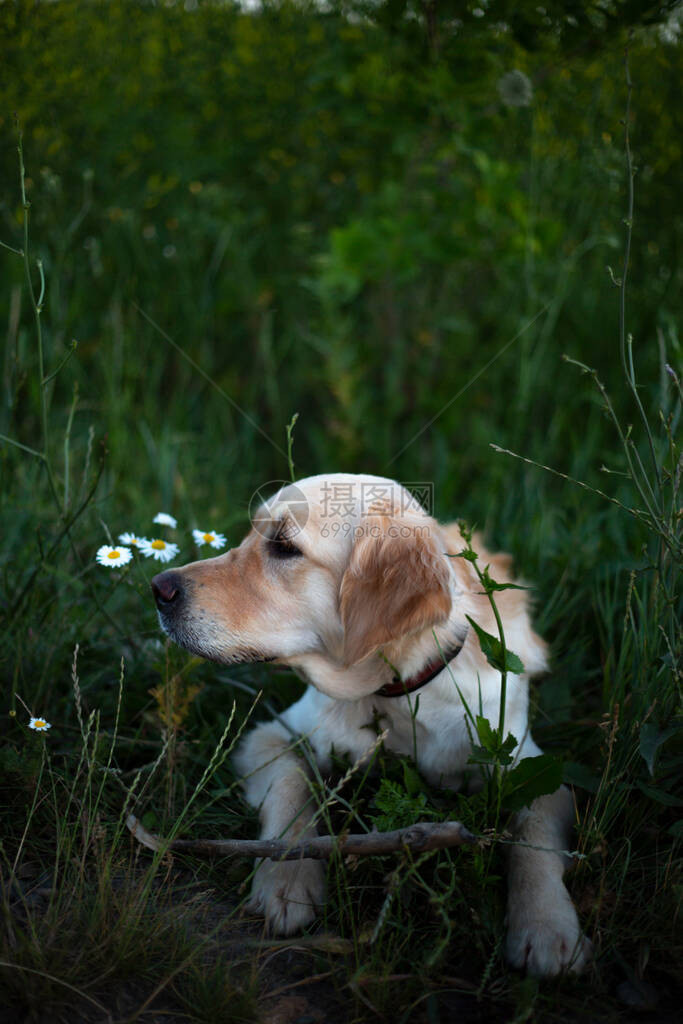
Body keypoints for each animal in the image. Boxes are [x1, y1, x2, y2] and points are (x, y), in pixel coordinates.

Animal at [152, 471, 589, 974]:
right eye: (250, 534)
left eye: (284, 546)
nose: (159, 587)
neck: (397, 694)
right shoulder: (272, 735)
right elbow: (292, 787)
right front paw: (287, 879)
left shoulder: (534, 771)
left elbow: (534, 835)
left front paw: (546, 923)